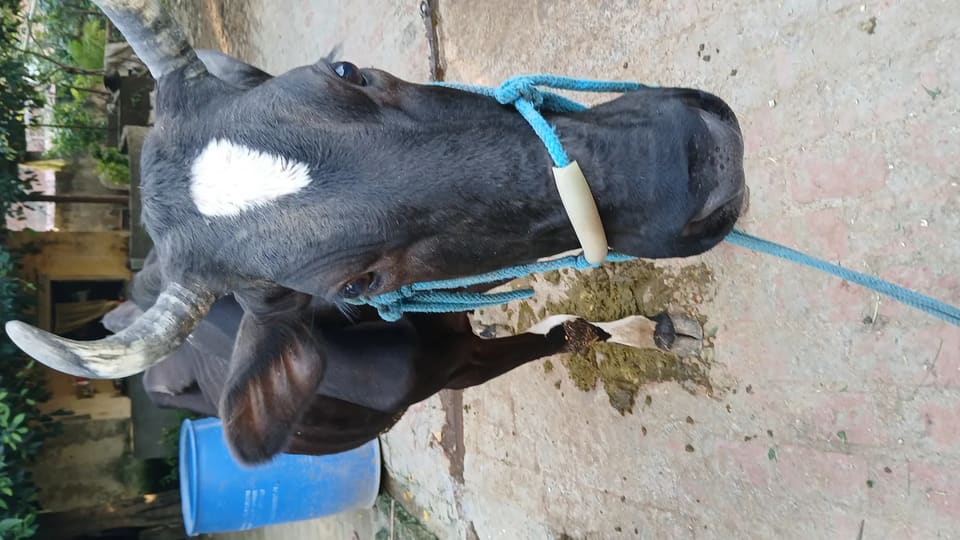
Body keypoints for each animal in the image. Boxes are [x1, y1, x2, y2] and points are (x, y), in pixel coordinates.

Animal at [5, 0, 746, 464]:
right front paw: (646, 331)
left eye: (346, 70)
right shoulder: (461, 366)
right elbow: (562, 333)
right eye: (356, 282)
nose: (691, 158)